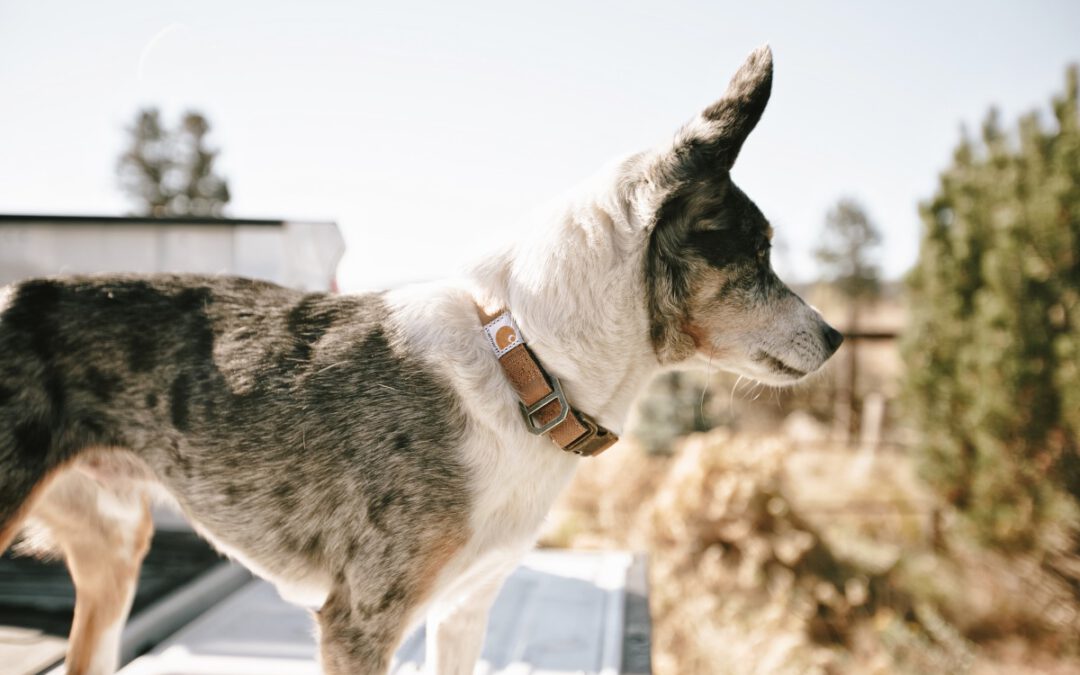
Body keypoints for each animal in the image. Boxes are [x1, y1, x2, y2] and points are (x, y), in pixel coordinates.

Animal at [0, 44, 838, 669]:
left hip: (115, 552)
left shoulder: (465, 606)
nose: (835, 337)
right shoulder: (360, 618)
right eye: (757, 252)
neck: (527, 365)